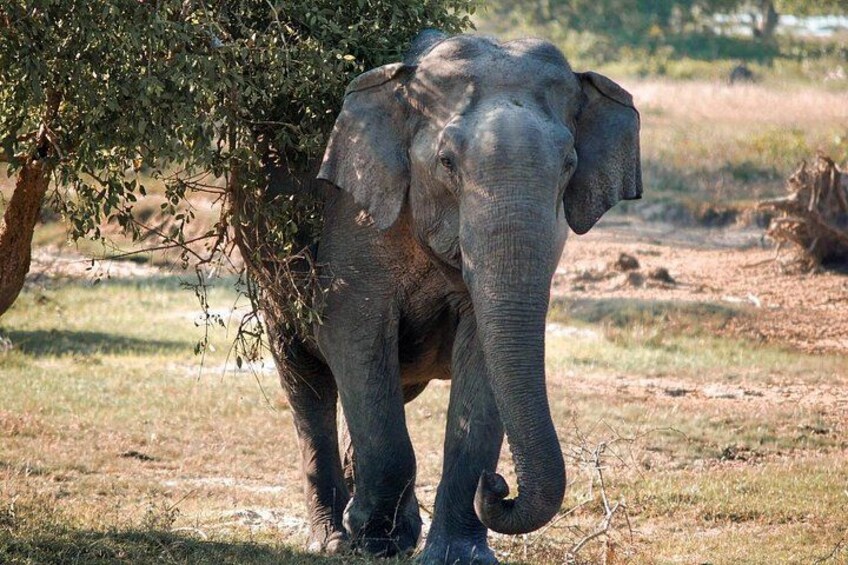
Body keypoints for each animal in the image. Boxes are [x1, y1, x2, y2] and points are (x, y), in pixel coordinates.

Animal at [271, 31, 642, 564]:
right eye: (446, 163)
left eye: (569, 165)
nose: (499, 484)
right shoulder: (355, 216)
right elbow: (350, 332)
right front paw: (373, 542)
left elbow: (483, 355)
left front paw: (457, 555)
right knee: (307, 380)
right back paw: (334, 538)